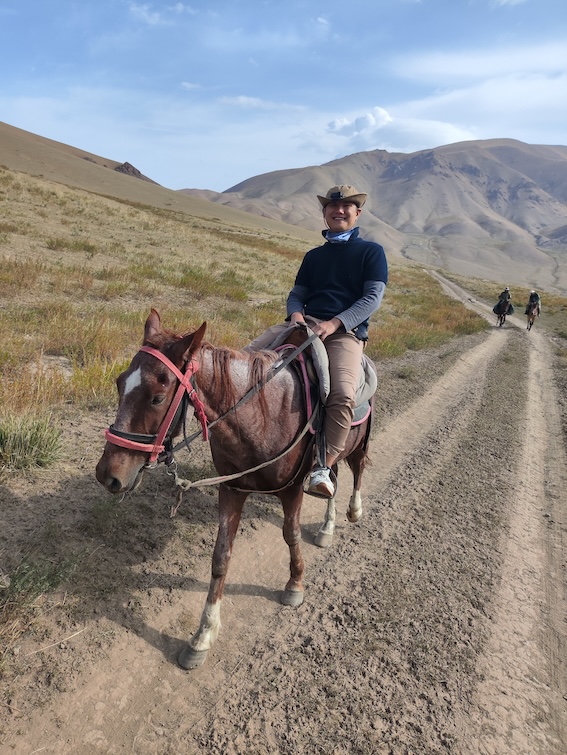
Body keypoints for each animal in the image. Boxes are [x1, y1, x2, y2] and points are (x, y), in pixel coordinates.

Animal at [95, 310, 374, 672]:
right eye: (119, 383)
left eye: (157, 397)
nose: (108, 475)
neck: (263, 414)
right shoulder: (232, 489)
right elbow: (220, 558)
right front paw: (202, 636)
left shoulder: (292, 490)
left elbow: (291, 534)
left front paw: (295, 584)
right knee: (335, 476)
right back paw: (327, 527)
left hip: (356, 443)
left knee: (356, 471)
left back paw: (353, 511)